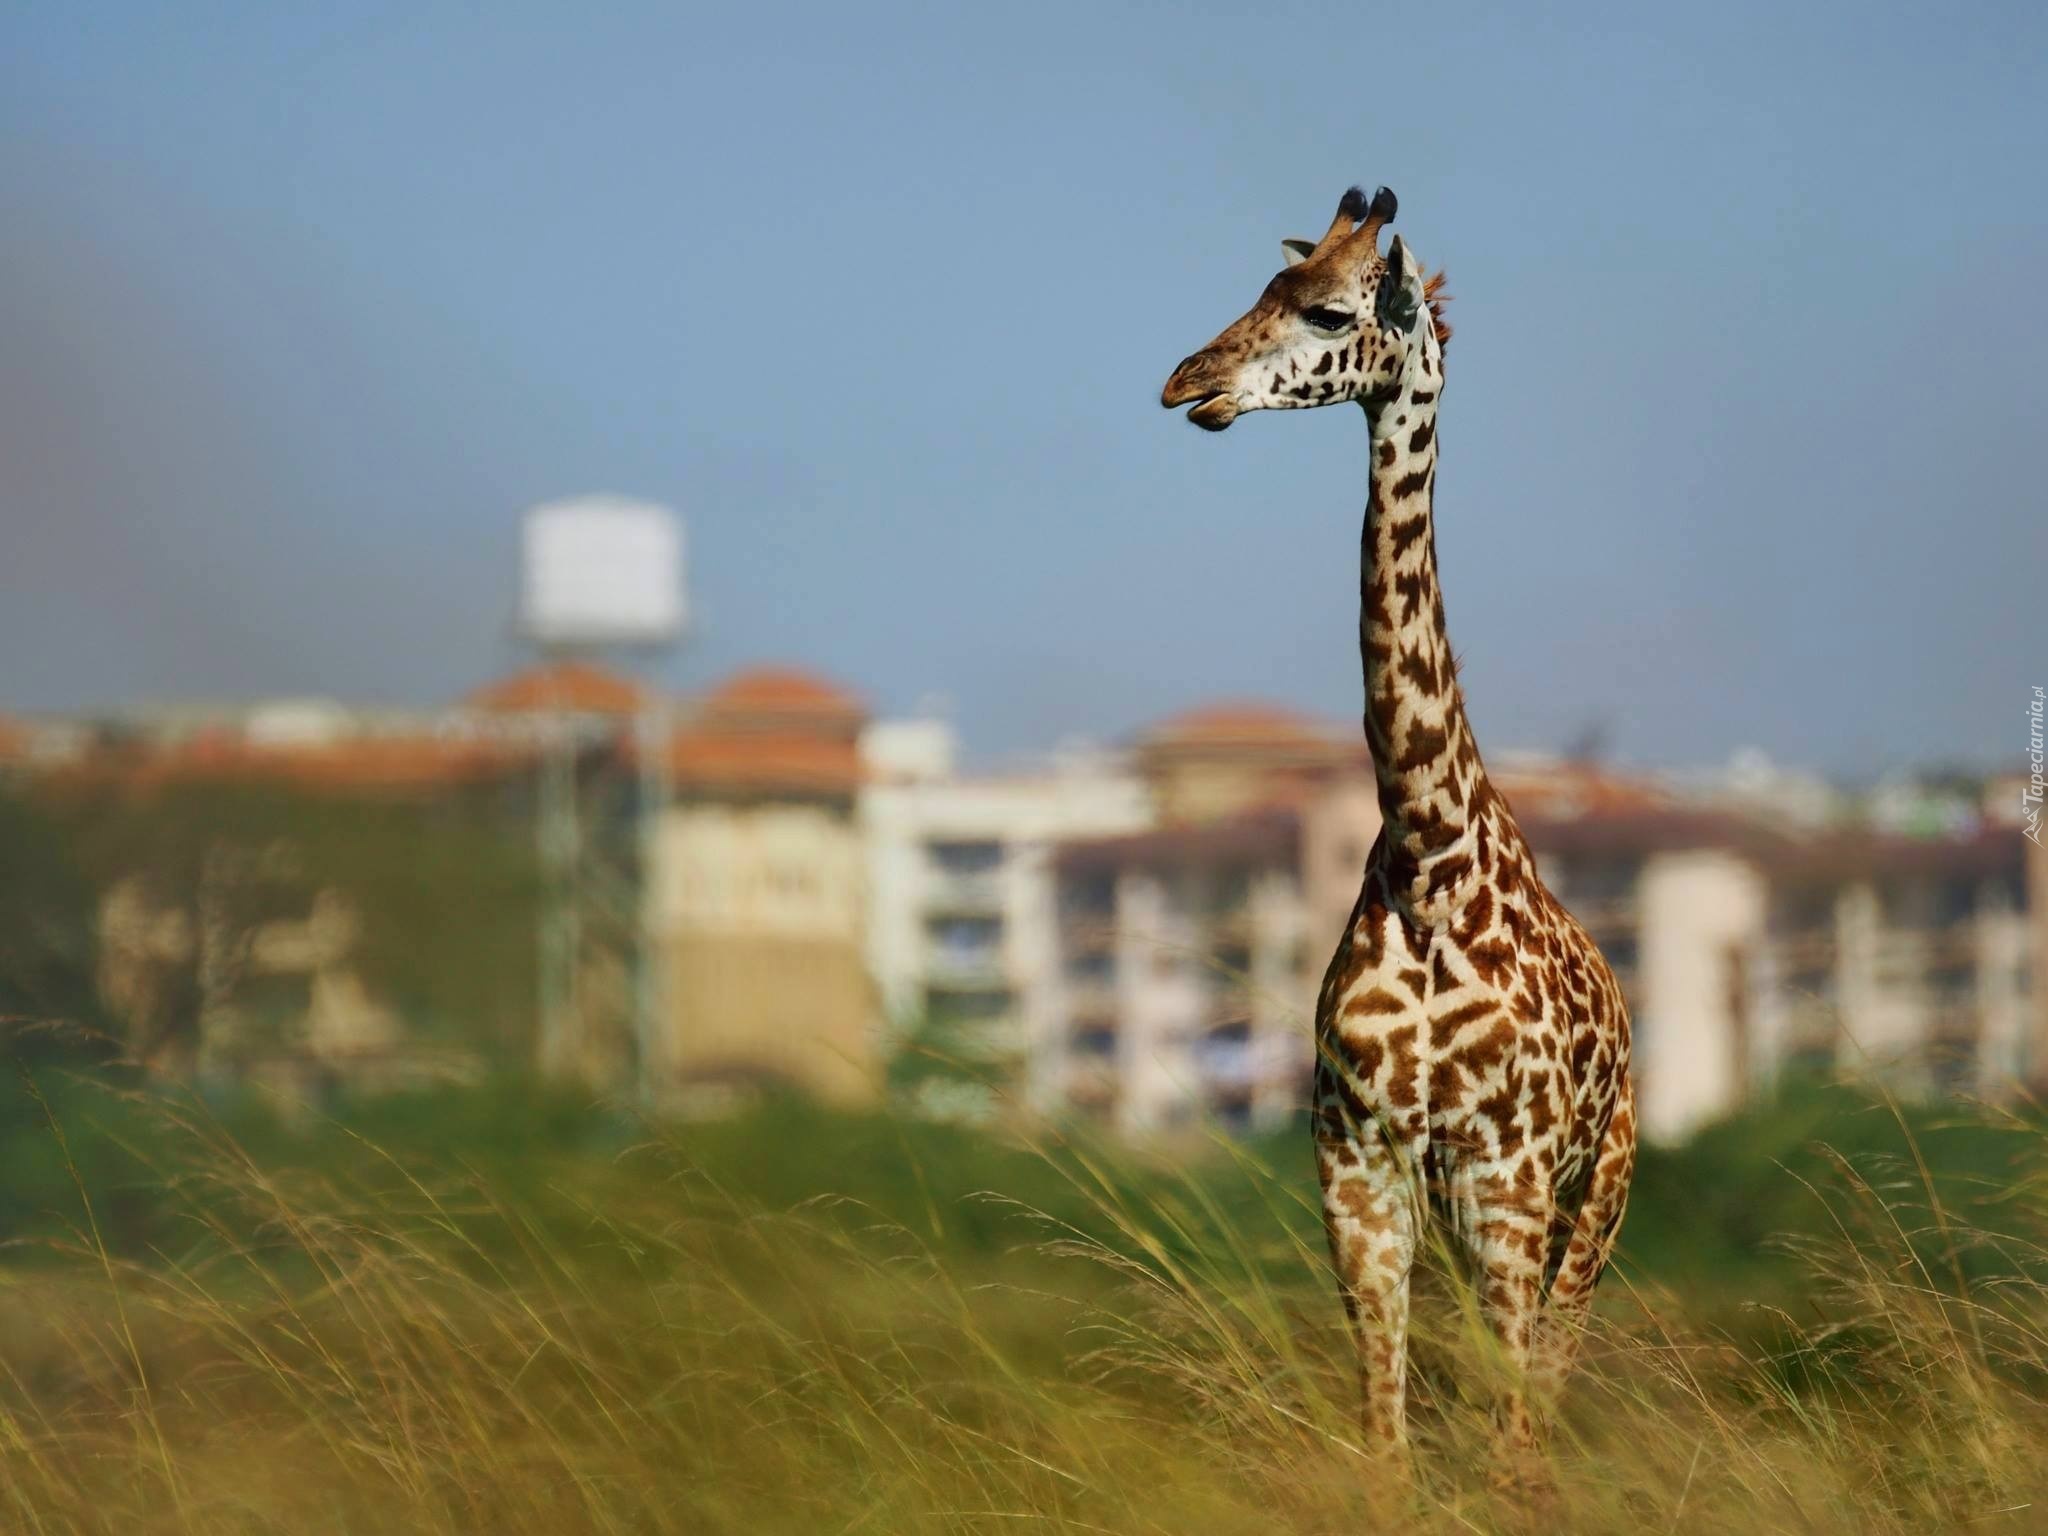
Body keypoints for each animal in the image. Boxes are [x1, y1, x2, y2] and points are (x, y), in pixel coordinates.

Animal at [1159, 186, 1636, 1469]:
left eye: (1329, 310)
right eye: (1262, 289)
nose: (1184, 382)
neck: (1429, 858)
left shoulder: (1502, 1181)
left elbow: (1511, 1446)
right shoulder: (1357, 1174)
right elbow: (1387, 1447)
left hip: (1593, 1201)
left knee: (1543, 1398)